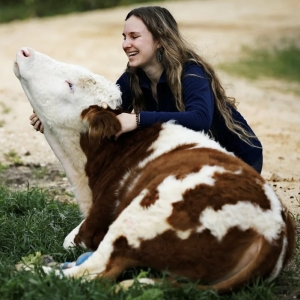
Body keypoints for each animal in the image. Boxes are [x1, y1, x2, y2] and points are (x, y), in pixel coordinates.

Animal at [12, 47, 294, 292]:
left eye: (70, 84)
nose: (25, 51)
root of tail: (273, 231)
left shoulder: (97, 222)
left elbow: (72, 240)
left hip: (140, 217)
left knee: (95, 271)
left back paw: (29, 269)